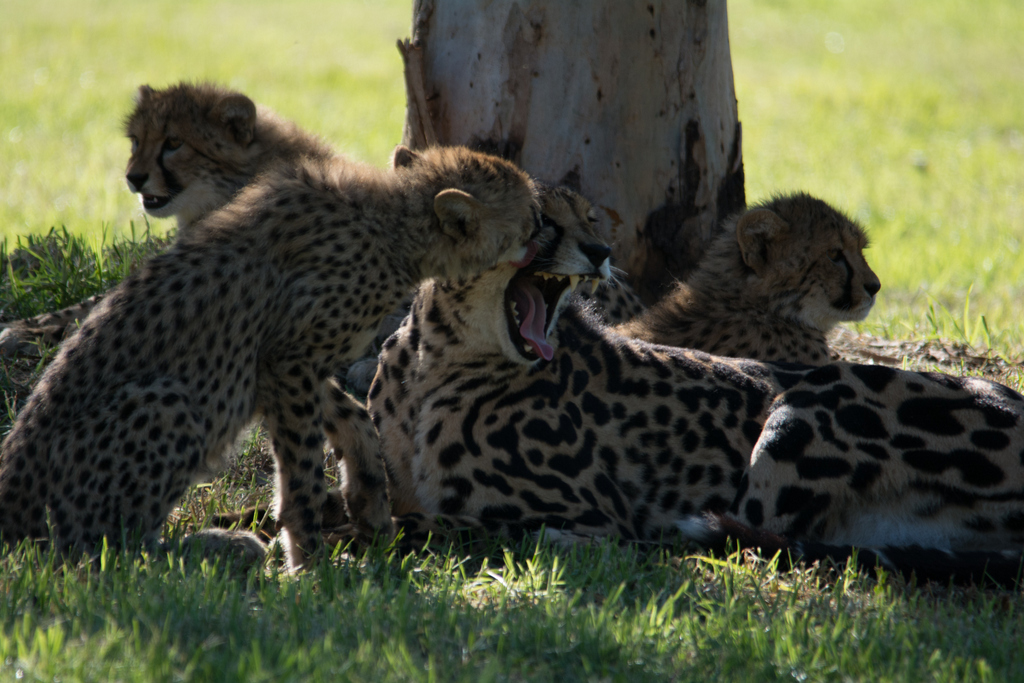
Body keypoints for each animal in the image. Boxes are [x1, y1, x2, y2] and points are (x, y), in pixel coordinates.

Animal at [0, 81, 332, 357]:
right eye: (136, 140)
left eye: (174, 143)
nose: (133, 178)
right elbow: (93, 300)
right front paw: (28, 324)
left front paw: (37, 332)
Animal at [0, 144, 542, 568]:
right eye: (532, 220)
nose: (549, 235)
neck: (396, 226)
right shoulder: (288, 360)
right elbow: (302, 469)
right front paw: (311, 563)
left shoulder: (288, 366)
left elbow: (354, 416)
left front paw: (369, 504)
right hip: (166, 402)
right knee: (104, 552)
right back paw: (218, 548)